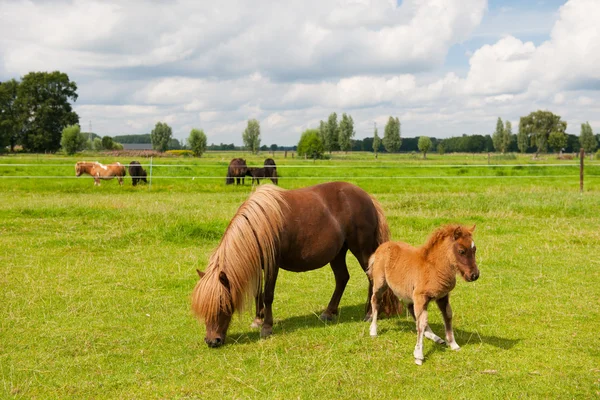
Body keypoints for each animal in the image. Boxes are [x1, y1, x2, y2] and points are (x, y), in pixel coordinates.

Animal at [190, 181, 400, 346]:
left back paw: (369, 314)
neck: (259, 226)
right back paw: (329, 312)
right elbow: (258, 294)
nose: (212, 341)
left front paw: (266, 327)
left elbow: (268, 295)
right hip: (338, 253)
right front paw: (257, 319)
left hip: (361, 249)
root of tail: (367, 198)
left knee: (371, 279)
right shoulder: (259, 266)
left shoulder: (273, 265)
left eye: (223, 305)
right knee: (342, 278)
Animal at [366, 225, 478, 366]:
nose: (474, 275)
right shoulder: (421, 297)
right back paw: (373, 330)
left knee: (411, 309)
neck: (434, 268)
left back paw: (435, 337)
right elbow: (422, 323)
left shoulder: (442, 296)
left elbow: (447, 315)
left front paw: (453, 344)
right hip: (380, 283)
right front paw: (418, 355)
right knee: (376, 300)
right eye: (461, 251)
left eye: (474, 249)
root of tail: (381, 248)